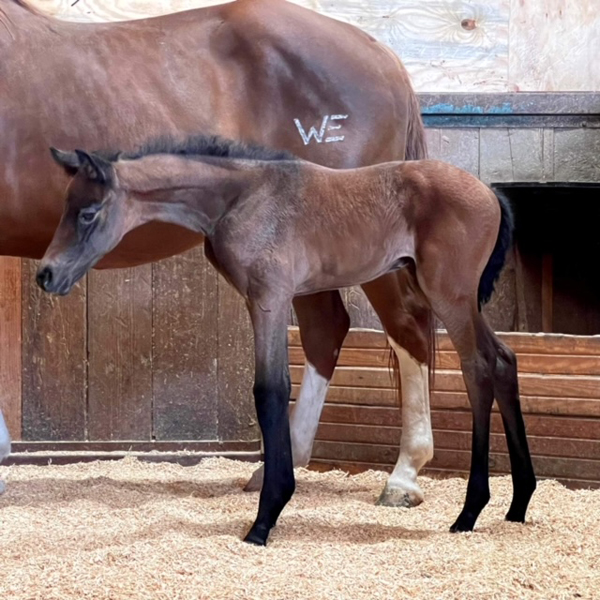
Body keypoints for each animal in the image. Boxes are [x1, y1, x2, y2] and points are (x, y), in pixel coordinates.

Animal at [1, 0, 432, 504]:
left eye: (87, 212)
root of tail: (384, 57)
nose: (49, 275)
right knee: (327, 330)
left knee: (405, 325)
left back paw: (403, 476)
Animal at [39, 137, 536, 548]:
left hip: (449, 294)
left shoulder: (270, 298)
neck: (240, 198)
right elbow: (274, 390)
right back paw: (518, 502)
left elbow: (270, 391)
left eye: (87, 213)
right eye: (64, 205)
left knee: (477, 367)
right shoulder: (263, 301)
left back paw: (469, 512)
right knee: (503, 359)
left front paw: (265, 518)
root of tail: (490, 193)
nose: (46, 274)